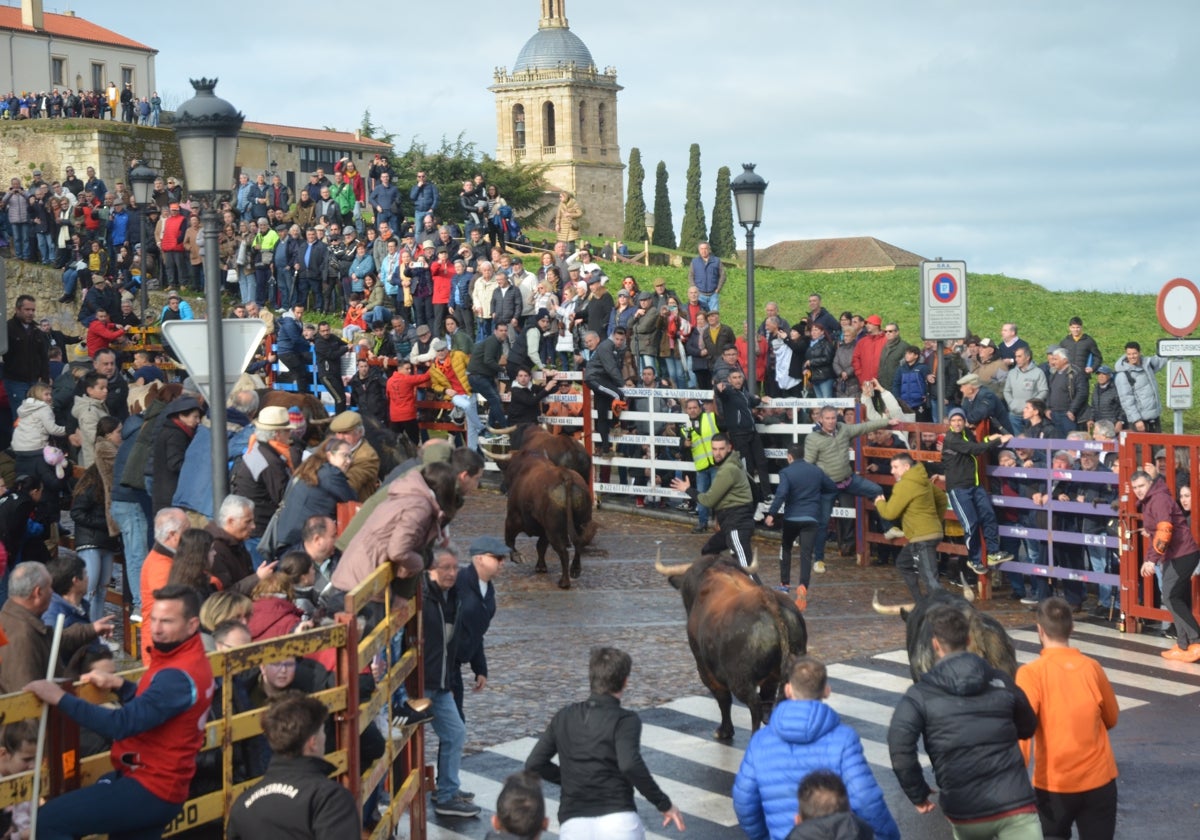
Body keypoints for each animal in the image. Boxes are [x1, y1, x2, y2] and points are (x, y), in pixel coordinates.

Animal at [506, 456, 600, 588]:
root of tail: (565, 475)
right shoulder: (544, 529)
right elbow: (540, 546)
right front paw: (541, 567)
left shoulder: (513, 519)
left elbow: (510, 540)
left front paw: (518, 557)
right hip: (582, 521)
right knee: (578, 545)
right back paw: (575, 571)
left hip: (554, 530)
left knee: (563, 552)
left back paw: (564, 582)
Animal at [657, 554, 806, 739]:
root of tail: (768, 599)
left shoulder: (705, 669)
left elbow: (723, 699)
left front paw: (725, 731)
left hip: (740, 679)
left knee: (754, 705)